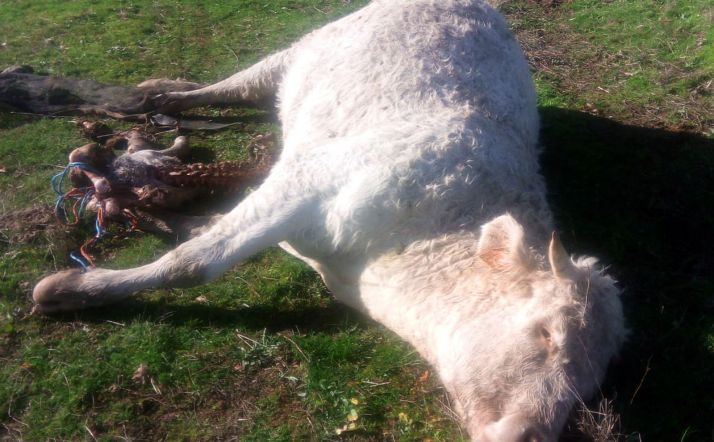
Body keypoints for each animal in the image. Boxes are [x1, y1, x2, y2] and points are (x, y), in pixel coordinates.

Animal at [32, 0, 626, 440]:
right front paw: (71, 289)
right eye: (546, 334)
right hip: (308, 46)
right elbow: (196, 263)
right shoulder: (306, 182)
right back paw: (166, 94)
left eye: (589, 386)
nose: (530, 435)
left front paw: (177, 219)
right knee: (240, 83)